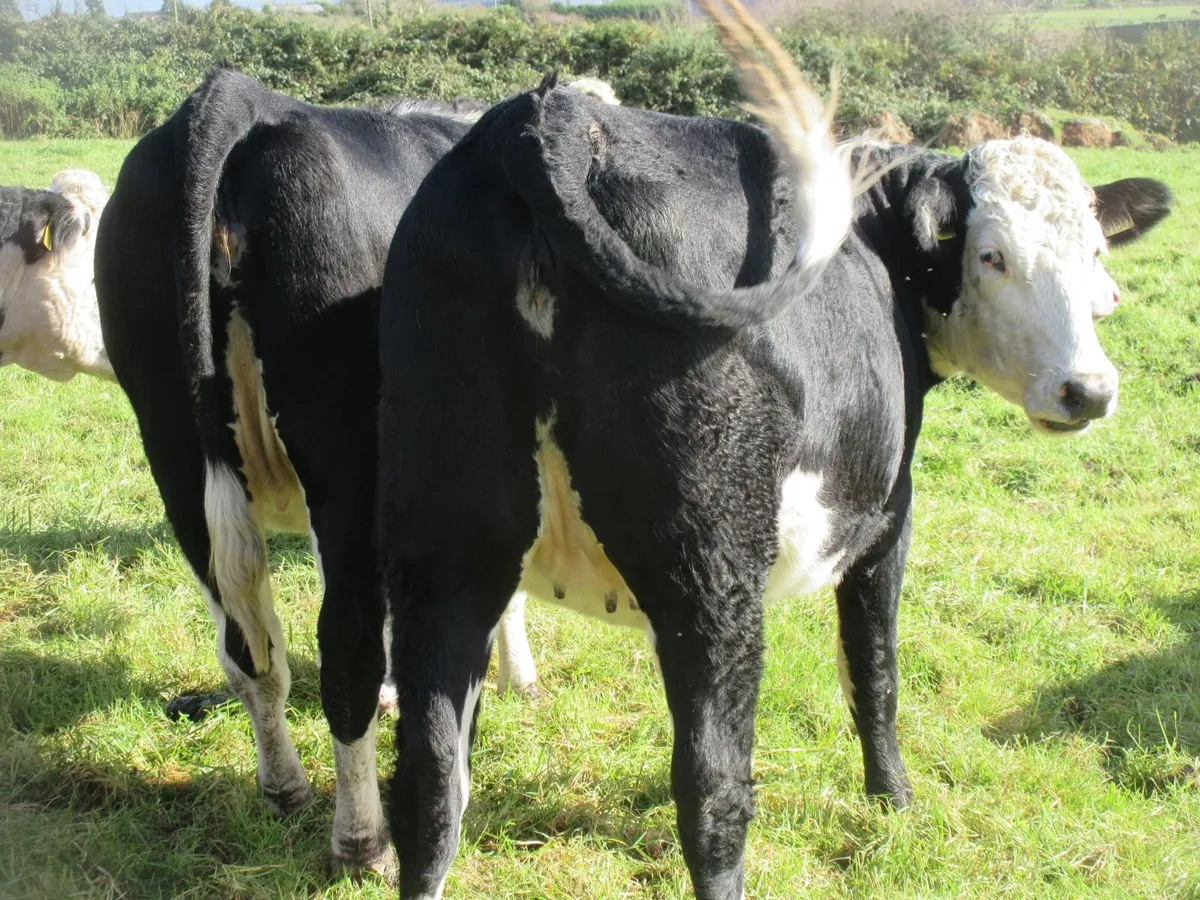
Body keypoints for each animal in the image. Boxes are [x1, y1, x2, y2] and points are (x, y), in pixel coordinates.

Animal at [374, 0, 1172, 895]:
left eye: (1094, 252)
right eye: (992, 255)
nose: (1089, 390)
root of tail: (550, 120)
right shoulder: (887, 518)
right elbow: (874, 671)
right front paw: (893, 800)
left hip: (444, 546)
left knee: (432, 779)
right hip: (712, 568)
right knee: (713, 788)